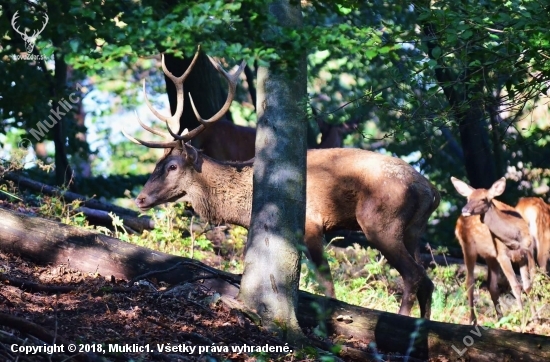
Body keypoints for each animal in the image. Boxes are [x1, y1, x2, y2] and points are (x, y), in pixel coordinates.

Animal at [123, 48, 442, 320]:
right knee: (428, 281)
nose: (140, 199)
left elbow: (326, 282)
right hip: (412, 230)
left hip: (380, 221)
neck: (246, 200)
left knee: (414, 275)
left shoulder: (312, 223)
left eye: (172, 166)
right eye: (156, 164)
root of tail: (433, 192)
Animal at [452, 177, 540, 324]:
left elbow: (528, 285)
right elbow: (516, 286)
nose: (465, 209)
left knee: (492, 285)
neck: (514, 238)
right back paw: (472, 320)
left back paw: (500, 318)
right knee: (470, 281)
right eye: (468, 198)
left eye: (483, 199)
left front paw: (536, 319)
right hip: (467, 246)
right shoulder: (502, 255)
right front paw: (523, 320)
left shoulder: (527, 253)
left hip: (490, 256)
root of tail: (458, 220)